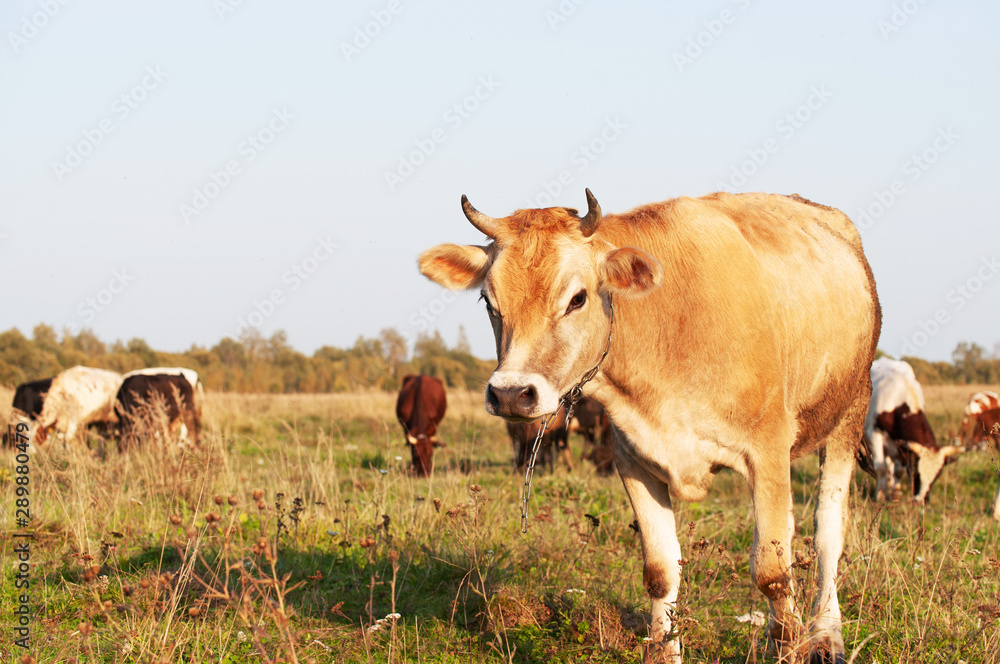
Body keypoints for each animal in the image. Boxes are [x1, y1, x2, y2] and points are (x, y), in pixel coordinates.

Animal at [418, 189, 880, 660]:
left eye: (577, 298)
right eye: (489, 303)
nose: (511, 393)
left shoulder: (766, 452)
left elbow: (771, 572)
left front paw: (790, 645)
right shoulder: (634, 459)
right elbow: (661, 571)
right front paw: (662, 649)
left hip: (848, 416)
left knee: (827, 536)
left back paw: (827, 635)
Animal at [868, 358, 960, 504]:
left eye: (937, 476)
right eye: (917, 472)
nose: (920, 501)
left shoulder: (901, 444)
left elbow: (898, 470)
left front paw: (895, 495)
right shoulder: (874, 433)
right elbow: (880, 468)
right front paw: (880, 497)